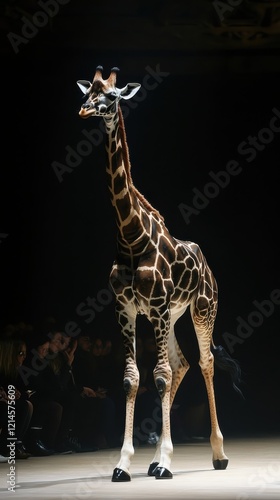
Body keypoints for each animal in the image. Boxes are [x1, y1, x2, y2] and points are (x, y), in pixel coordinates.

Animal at [76, 66, 241, 480]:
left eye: (113, 96)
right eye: (89, 92)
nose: (85, 110)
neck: (130, 235)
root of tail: (209, 267)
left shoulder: (159, 305)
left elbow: (160, 376)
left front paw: (165, 461)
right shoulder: (127, 308)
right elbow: (133, 378)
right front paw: (124, 463)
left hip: (201, 309)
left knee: (203, 362)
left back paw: (217, 453)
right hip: (169, 315)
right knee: (181, 364)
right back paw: (154, 460)